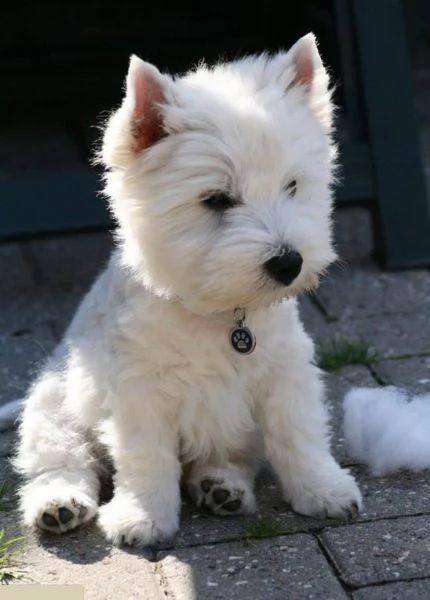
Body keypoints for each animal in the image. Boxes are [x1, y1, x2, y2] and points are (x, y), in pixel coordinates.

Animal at [13, 34, 362, 548]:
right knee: (62, 460)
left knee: (230, 458)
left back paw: (222, 487)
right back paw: (59, 505)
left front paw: (324, 490)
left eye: (293, 185)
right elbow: (146, 457)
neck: (219, 312)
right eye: (216, 199)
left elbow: (299, 434)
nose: (289, 263)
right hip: (51, 404)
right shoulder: (139, 390)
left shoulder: (284, 373)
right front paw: (142, 518)